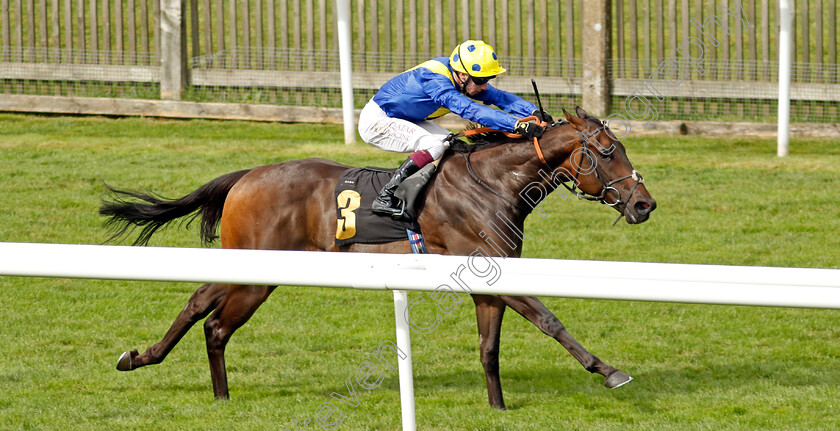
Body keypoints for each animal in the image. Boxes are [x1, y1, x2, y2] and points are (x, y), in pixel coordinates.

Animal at [101, 106, 656, 410]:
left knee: (206, 312)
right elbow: (549, 319)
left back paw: (188, 380)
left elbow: (489, 346)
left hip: (256, 266)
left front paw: (497, 408)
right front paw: (609, 371)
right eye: (608, 152)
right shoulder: (491, 268)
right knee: (210, 315)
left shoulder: (488, 278)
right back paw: (169, 369)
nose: (644, 205)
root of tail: (246, 175)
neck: (493, 182)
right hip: (257, 269)